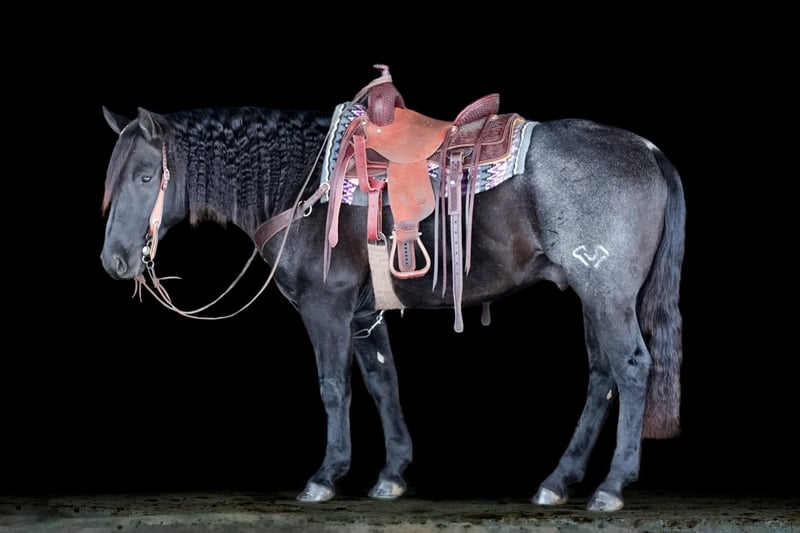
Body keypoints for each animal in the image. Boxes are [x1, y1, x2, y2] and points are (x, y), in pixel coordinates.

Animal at [98, 67, 685, 512]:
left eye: (147, 177)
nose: (115, 260)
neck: (301, 180)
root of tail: (649, 150)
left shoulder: (327, 305)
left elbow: (334, 386)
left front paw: (325, 476)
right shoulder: (363, 314)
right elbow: (383, 382)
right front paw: (392, 473)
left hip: (607, 296)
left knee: (632, 368)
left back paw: (611, 487)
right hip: (593, 297)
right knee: (603, 376)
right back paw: (558, 482)